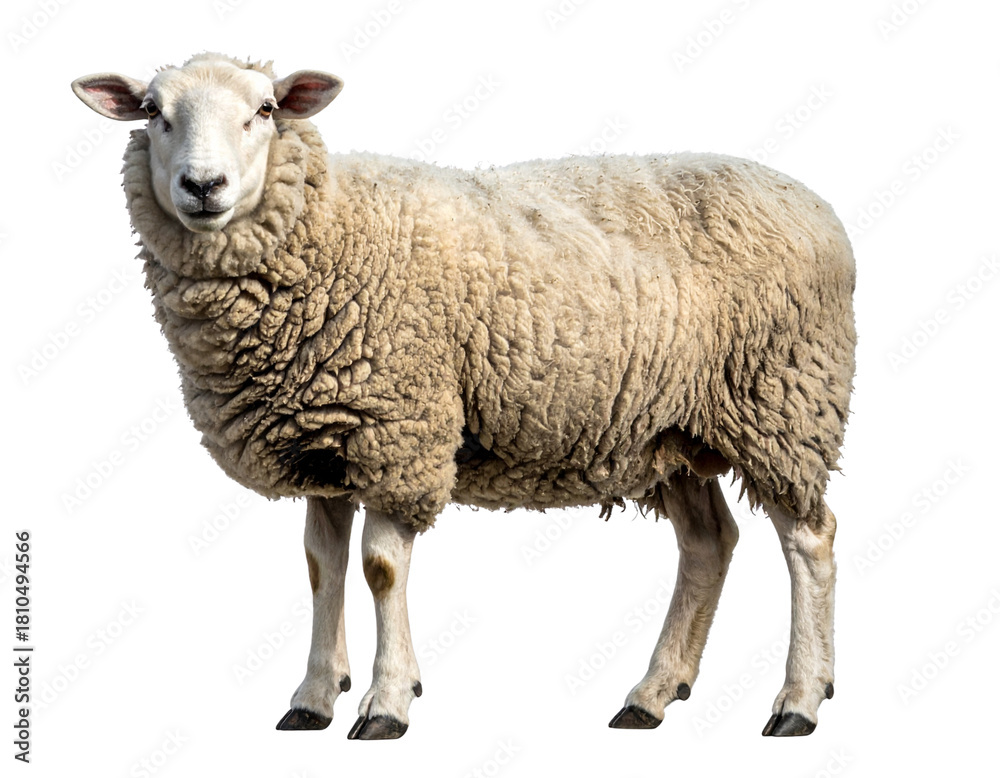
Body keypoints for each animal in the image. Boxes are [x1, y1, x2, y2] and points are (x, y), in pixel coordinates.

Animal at [71, 52, 856, 740]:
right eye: (153, 112)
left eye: (264, 109)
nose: (203, 185)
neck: (328, 233)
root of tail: (814, 203)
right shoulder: (324, 442)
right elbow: (321, 566)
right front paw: (314, 696)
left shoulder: (399, 430)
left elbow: (380, 568)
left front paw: (386, 703)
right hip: (670, 428)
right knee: (708, 543)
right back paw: (653, 694)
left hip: (783, 402)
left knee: (809, 539)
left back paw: (799, 699)